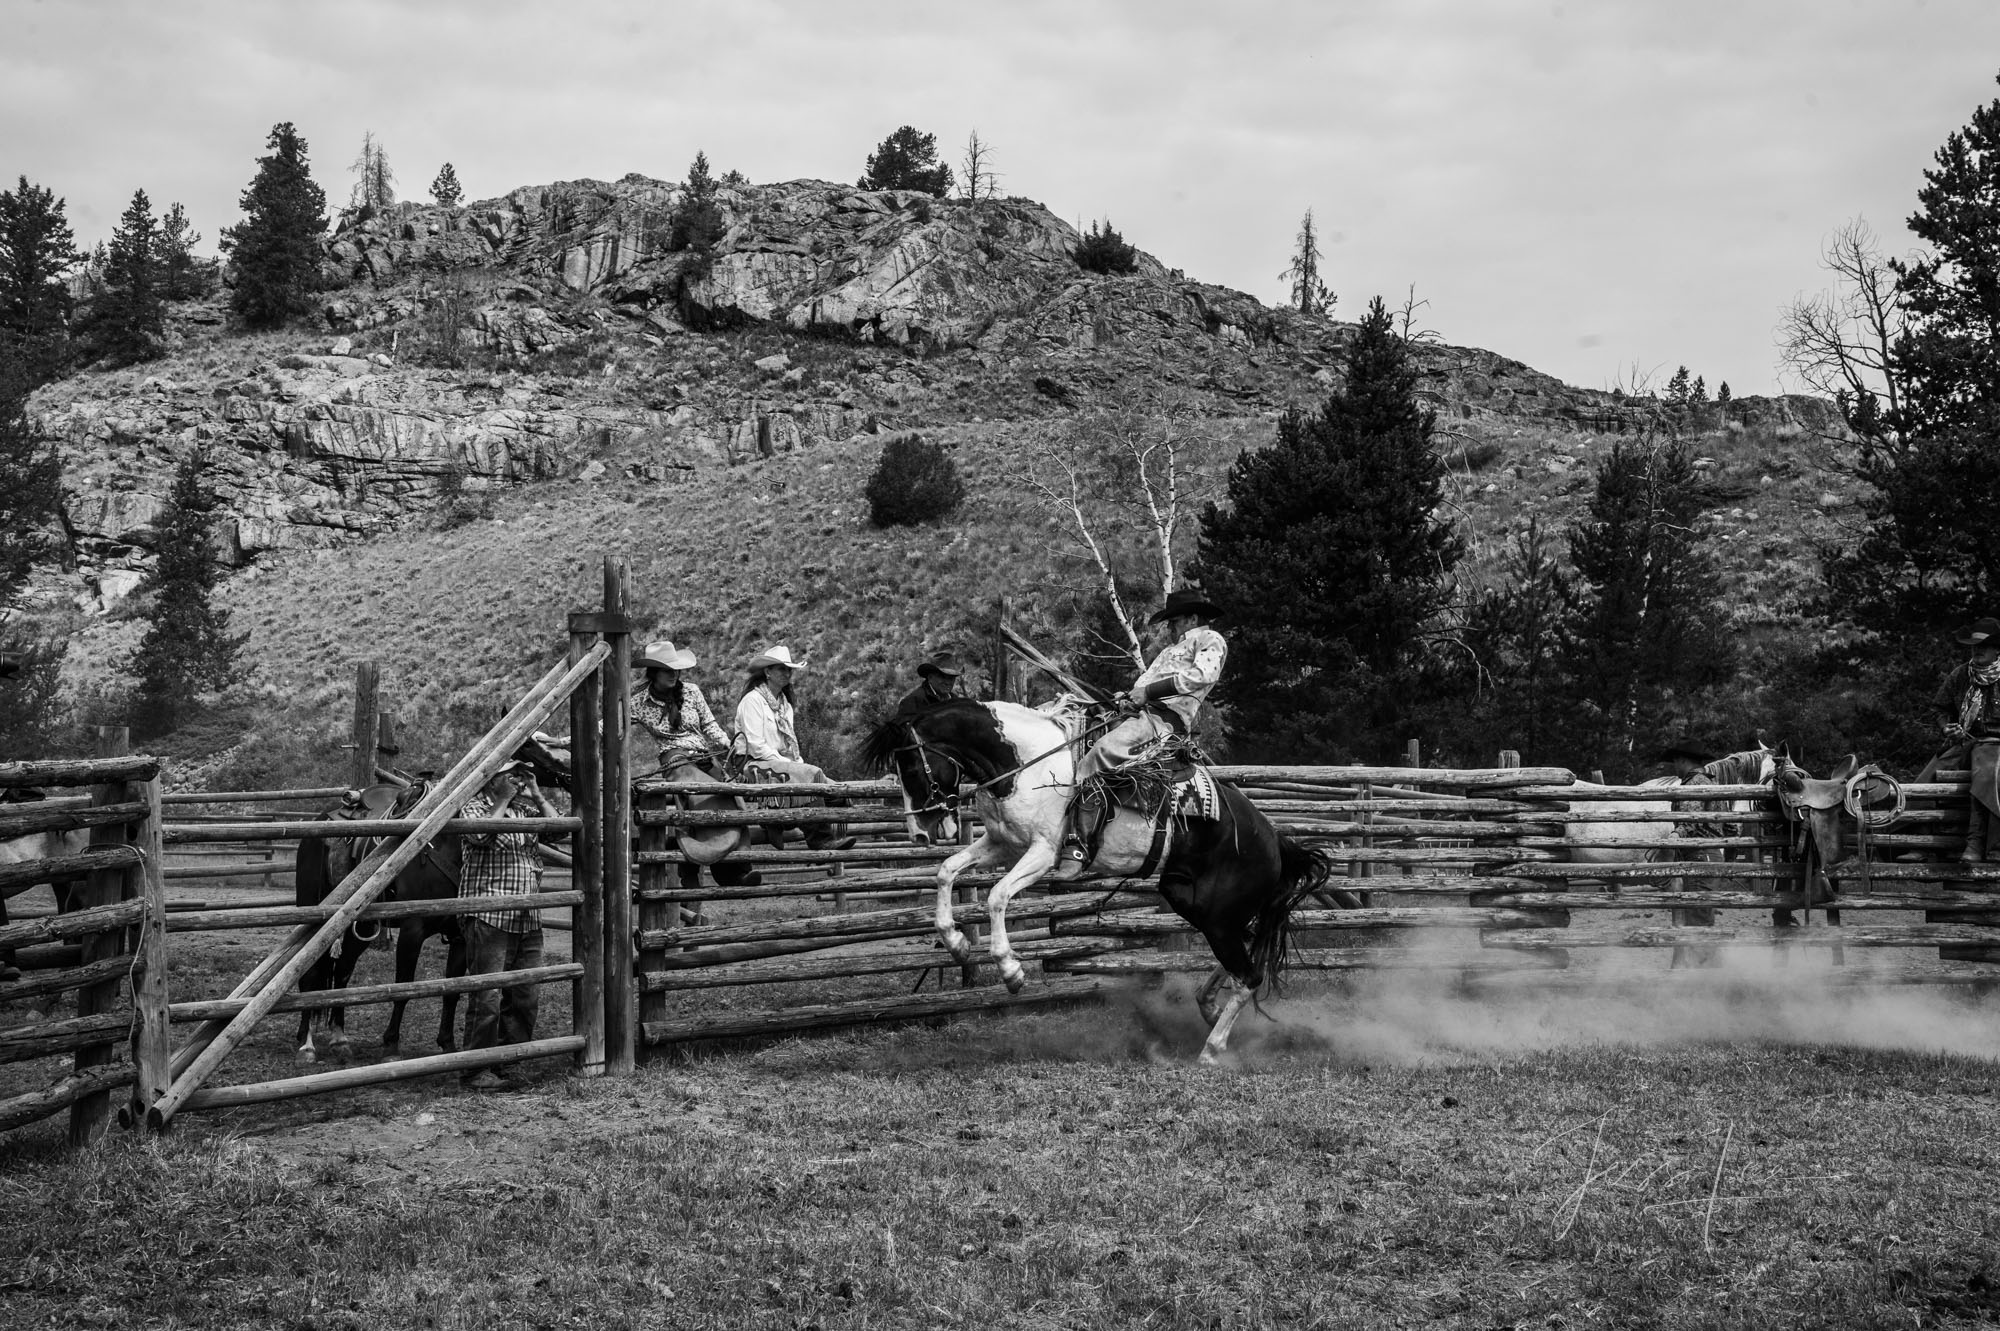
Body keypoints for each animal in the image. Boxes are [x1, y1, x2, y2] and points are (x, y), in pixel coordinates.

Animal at [290, 731, 576, 1063]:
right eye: (531, 746)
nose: (569, 771)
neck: (447, 841)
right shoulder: (412, 930)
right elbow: (403, 986)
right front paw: (391, 1046)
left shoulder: (462, 936)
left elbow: (452, 988)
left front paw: (448, 1044)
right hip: (314, 913)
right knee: (310, 974)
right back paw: (306, 1044)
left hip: (358, 927)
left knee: (344, 971)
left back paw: (339, 1039)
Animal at [860, 695, 1360, 1055]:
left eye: (910, 766)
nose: (920, 832)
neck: (1027, 762)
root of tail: (1274, 839)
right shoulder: (1002, 844)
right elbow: (947, 873)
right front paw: (957, 942)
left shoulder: (1042, 853)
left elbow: (997, 896)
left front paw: (1011, 969)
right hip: (1195, 903)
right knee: (1248, 956)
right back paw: (1207, 1006)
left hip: (1216, 914)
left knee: (1250, 975)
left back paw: (1212, 1048)